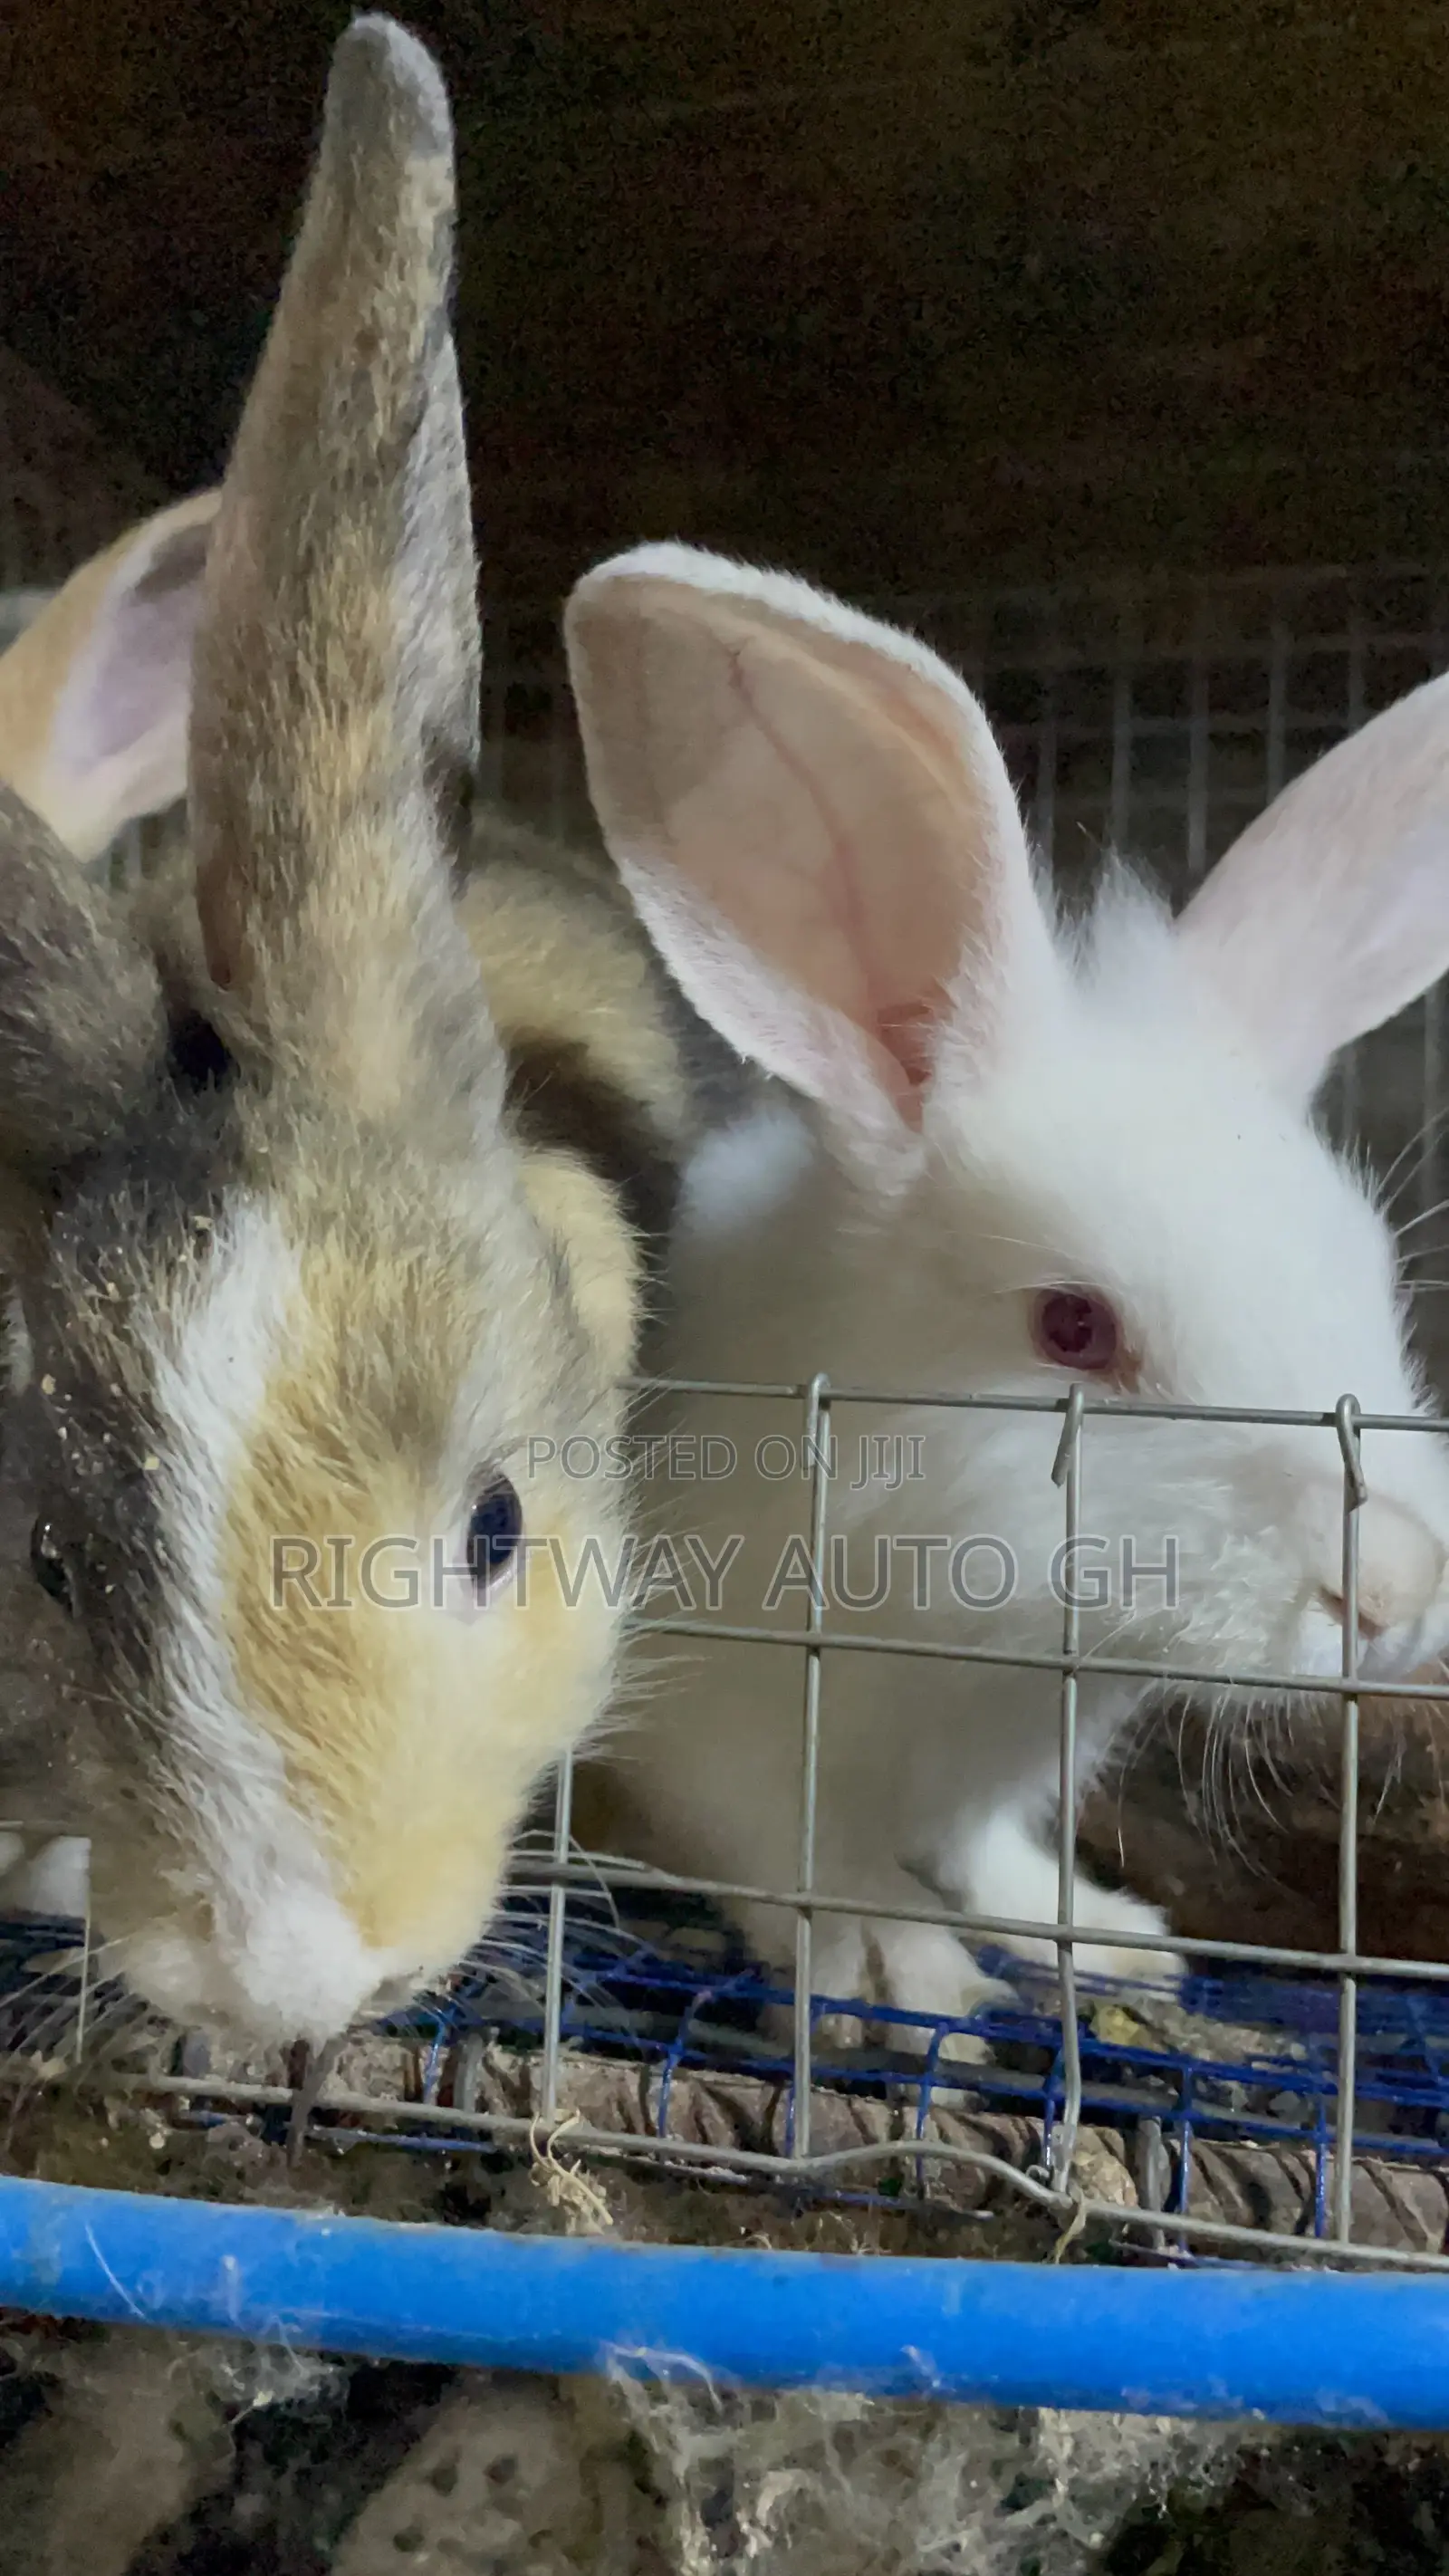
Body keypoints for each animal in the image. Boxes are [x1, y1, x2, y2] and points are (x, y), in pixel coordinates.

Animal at [559, 540, 1449, 2054]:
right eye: (1073, 1327)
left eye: (1371, 1279)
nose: (1392, 1585)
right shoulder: (707, 1722)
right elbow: (788, 1849)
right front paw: (896, 1967)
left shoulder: (1001, 1772)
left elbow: (988, 1855)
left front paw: (1108, 1936)